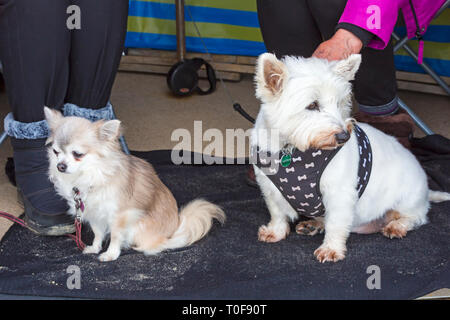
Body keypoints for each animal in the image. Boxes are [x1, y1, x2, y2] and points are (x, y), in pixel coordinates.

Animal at [44, 106, 224, 262]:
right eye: (55, 152)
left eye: (77, 154)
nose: (60, 166)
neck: (90, 176)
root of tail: (174, 229)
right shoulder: (93, 212)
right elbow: (98, 233)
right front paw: (95, 248)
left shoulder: (120, 215)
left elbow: (115, 236)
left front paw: (110, 254)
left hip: (139, 228)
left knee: (157, 245)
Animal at [251, 52, 448, 262]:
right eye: (312, 105)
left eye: (338, 103)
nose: (344, 137)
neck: (292, 149)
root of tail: (426, 191)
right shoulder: (268, 186)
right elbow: (277, 212)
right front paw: (275, 232)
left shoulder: (340, 192)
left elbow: (336, 223)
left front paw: (331, 249)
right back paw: (313, 224)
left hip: (407, 200)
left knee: (417, 217)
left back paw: (397, 226)